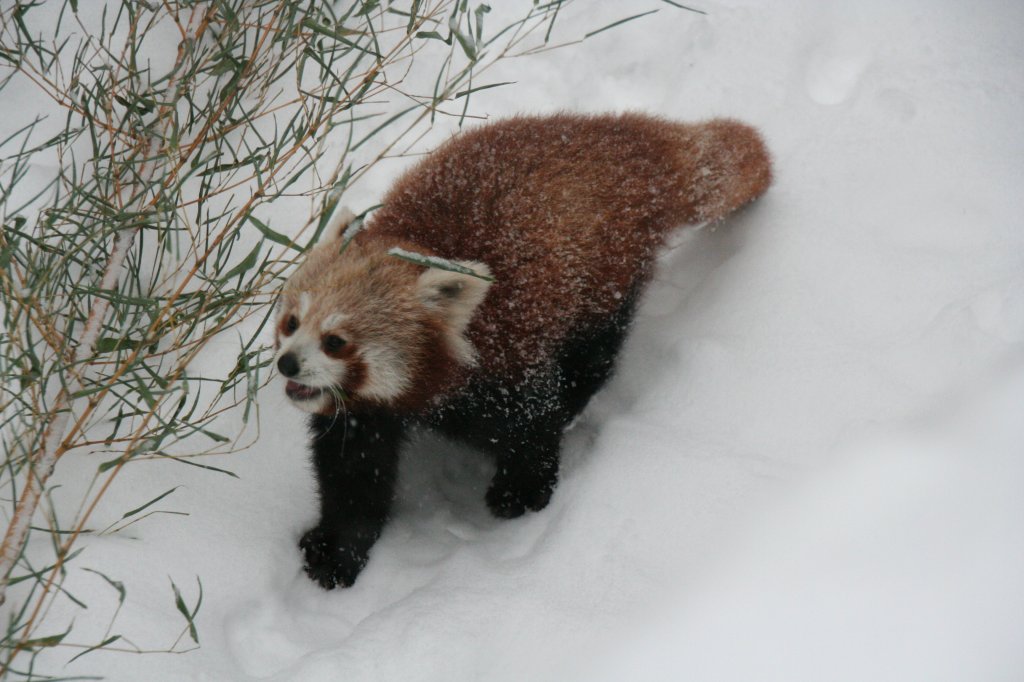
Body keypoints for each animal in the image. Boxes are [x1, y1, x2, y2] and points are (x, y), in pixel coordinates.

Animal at [272, 111, 770, 585]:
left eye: (336, 341)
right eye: (291, 322)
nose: (287, 364)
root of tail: (625, 139)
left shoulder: (503, 359)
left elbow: (531, 425)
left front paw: (523, 490)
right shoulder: (361, 415)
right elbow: (354, 475)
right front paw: (336, 549)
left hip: (601, 276)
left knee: (597, 351)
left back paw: (575, 400)